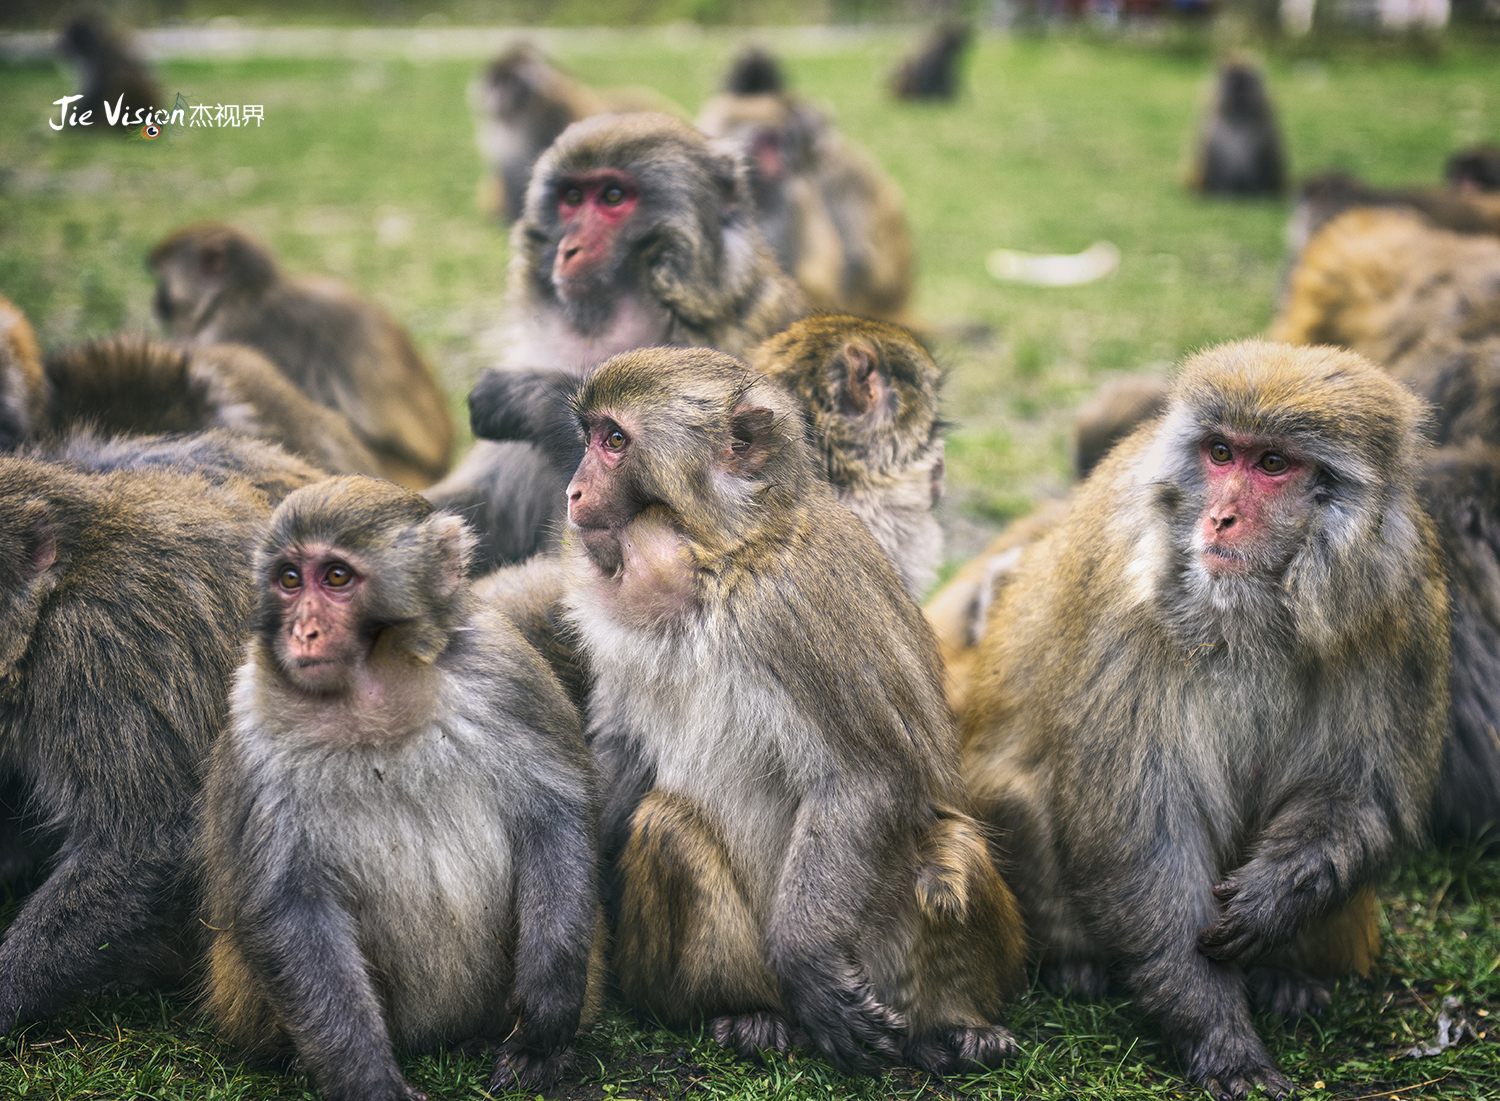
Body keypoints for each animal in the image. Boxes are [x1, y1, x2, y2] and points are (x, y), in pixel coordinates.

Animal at [558, 346, 1026, 1080]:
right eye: (591, 436)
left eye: (614, 441)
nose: (572, 494)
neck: (722, 565)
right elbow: (624, 750)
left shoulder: (787, 614)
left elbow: (863, 779)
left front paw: (806, 956)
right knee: (668, 829)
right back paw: (750, 1013)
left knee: (953, 857)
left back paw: (955, 1026)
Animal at [966, 340, 1446, 1098]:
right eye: (1221, 452)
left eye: (1272, 463)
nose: (1219, 518)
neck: (1258, 606)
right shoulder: (1126, 611)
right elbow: (1145, 831)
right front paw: (1220, 1039)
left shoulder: (1403, 603)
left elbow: (1362, 796)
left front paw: (1275, 900)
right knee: (1023, 795)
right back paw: (1079, 964)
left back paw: (1288, 975)